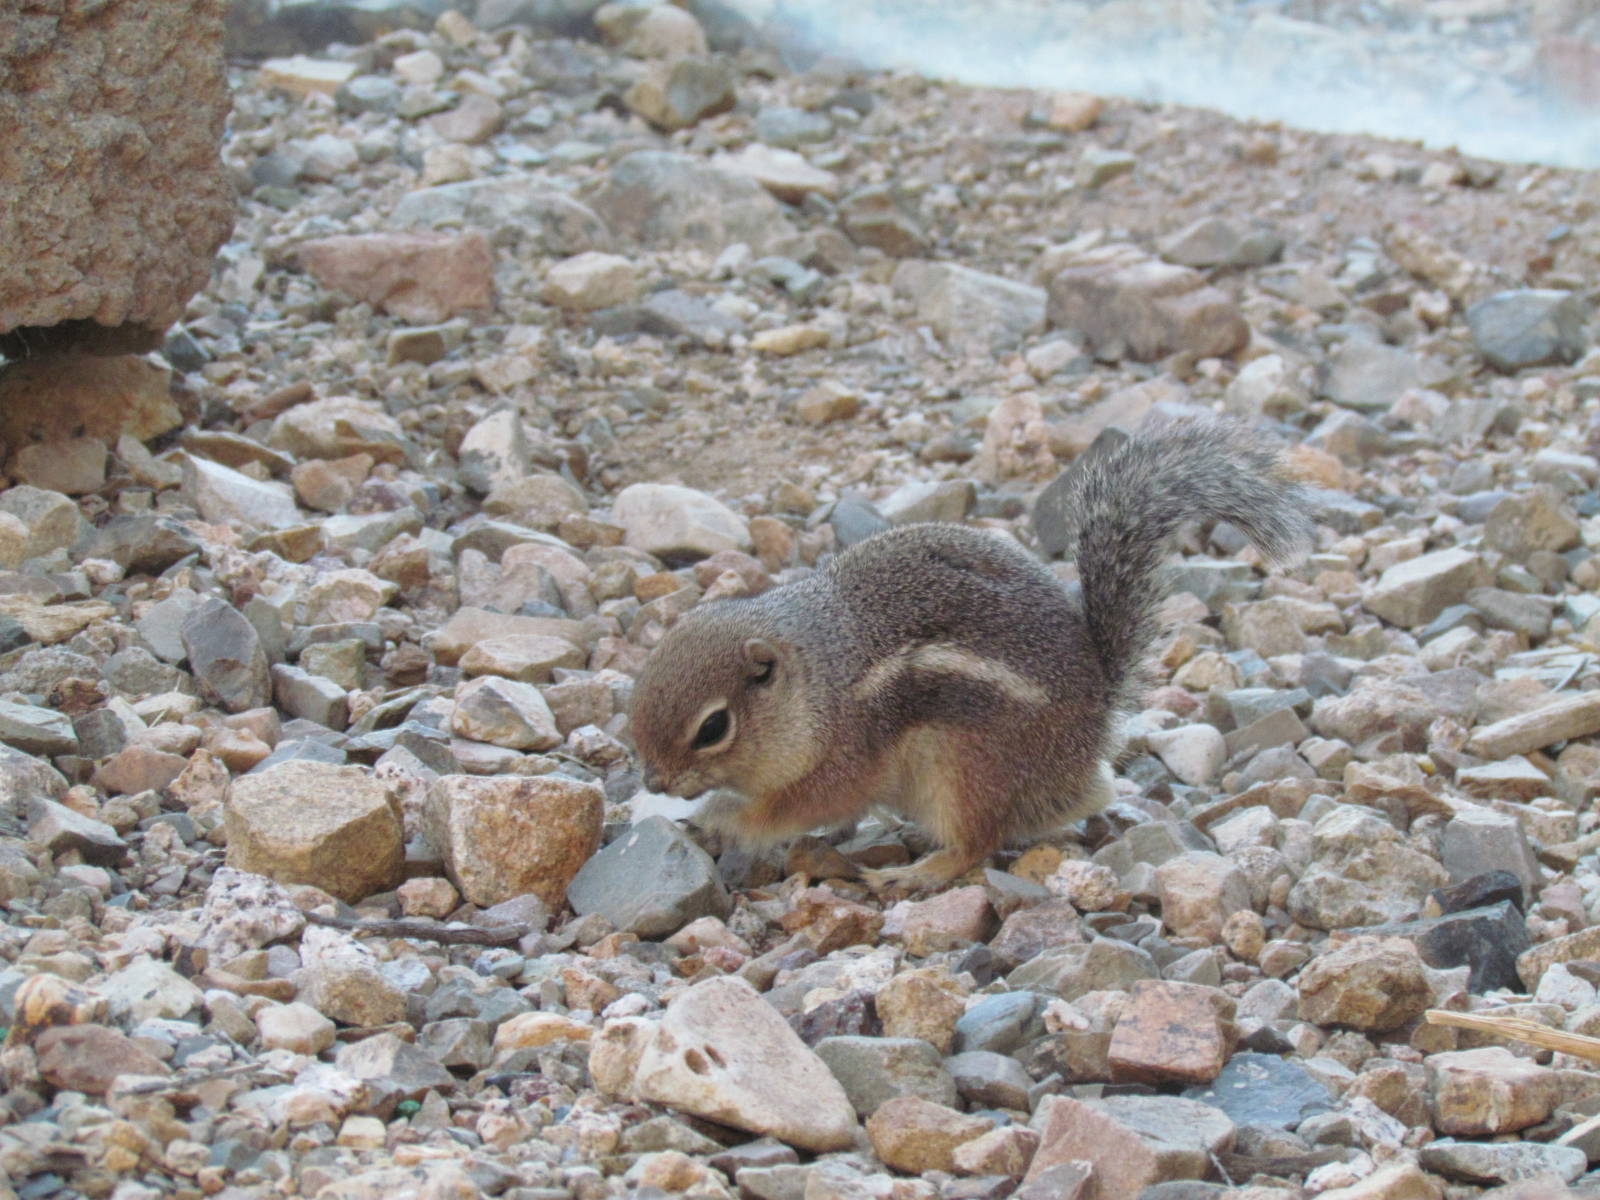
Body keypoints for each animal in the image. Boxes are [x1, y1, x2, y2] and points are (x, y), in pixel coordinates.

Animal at [628, 416, 1314, 892]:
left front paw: (722, 820)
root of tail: (1095, 725)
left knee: (977, 843)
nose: (653, 781)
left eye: (713, 727)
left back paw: (916, 873)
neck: (819, 678)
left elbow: (794, 808)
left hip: (967, 768)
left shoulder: (843, 757)